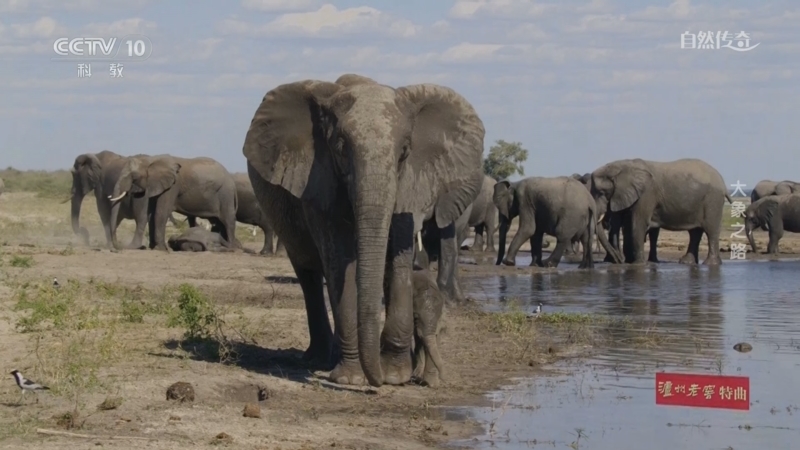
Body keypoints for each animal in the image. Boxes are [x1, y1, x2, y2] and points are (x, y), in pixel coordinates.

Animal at [109, 155, 239, 252]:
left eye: (133, 176)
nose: (117, 248)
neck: (152, 159)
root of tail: (231, 180)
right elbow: (150, 213)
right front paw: (153, 247)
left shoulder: (172, 186)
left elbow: (161, 212)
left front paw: (160, 249)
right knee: (218, 222)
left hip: (225, 194)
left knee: (228, 220)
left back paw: (232, 248)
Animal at [242, 73, 484, 387]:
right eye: (340, 148)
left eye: (405, 152)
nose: (376, 380)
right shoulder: (319, 181)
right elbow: (340, 262)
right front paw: (351, 379)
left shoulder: (409, 185)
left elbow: (398, 260)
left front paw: (394, 375)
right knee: (309, 273)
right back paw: (320, 359)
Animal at [590, 158, 731, 265]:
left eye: (600, 192)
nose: (619, 261)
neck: (621, 167)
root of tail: (723, 183)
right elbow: (625, 225)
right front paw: (629, 262)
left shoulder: (646, 194)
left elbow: (637, 223)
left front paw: (638, 264)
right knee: (695, 232)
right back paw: (687, 262)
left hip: (712, 201)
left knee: (711, 231)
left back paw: (710, 264)